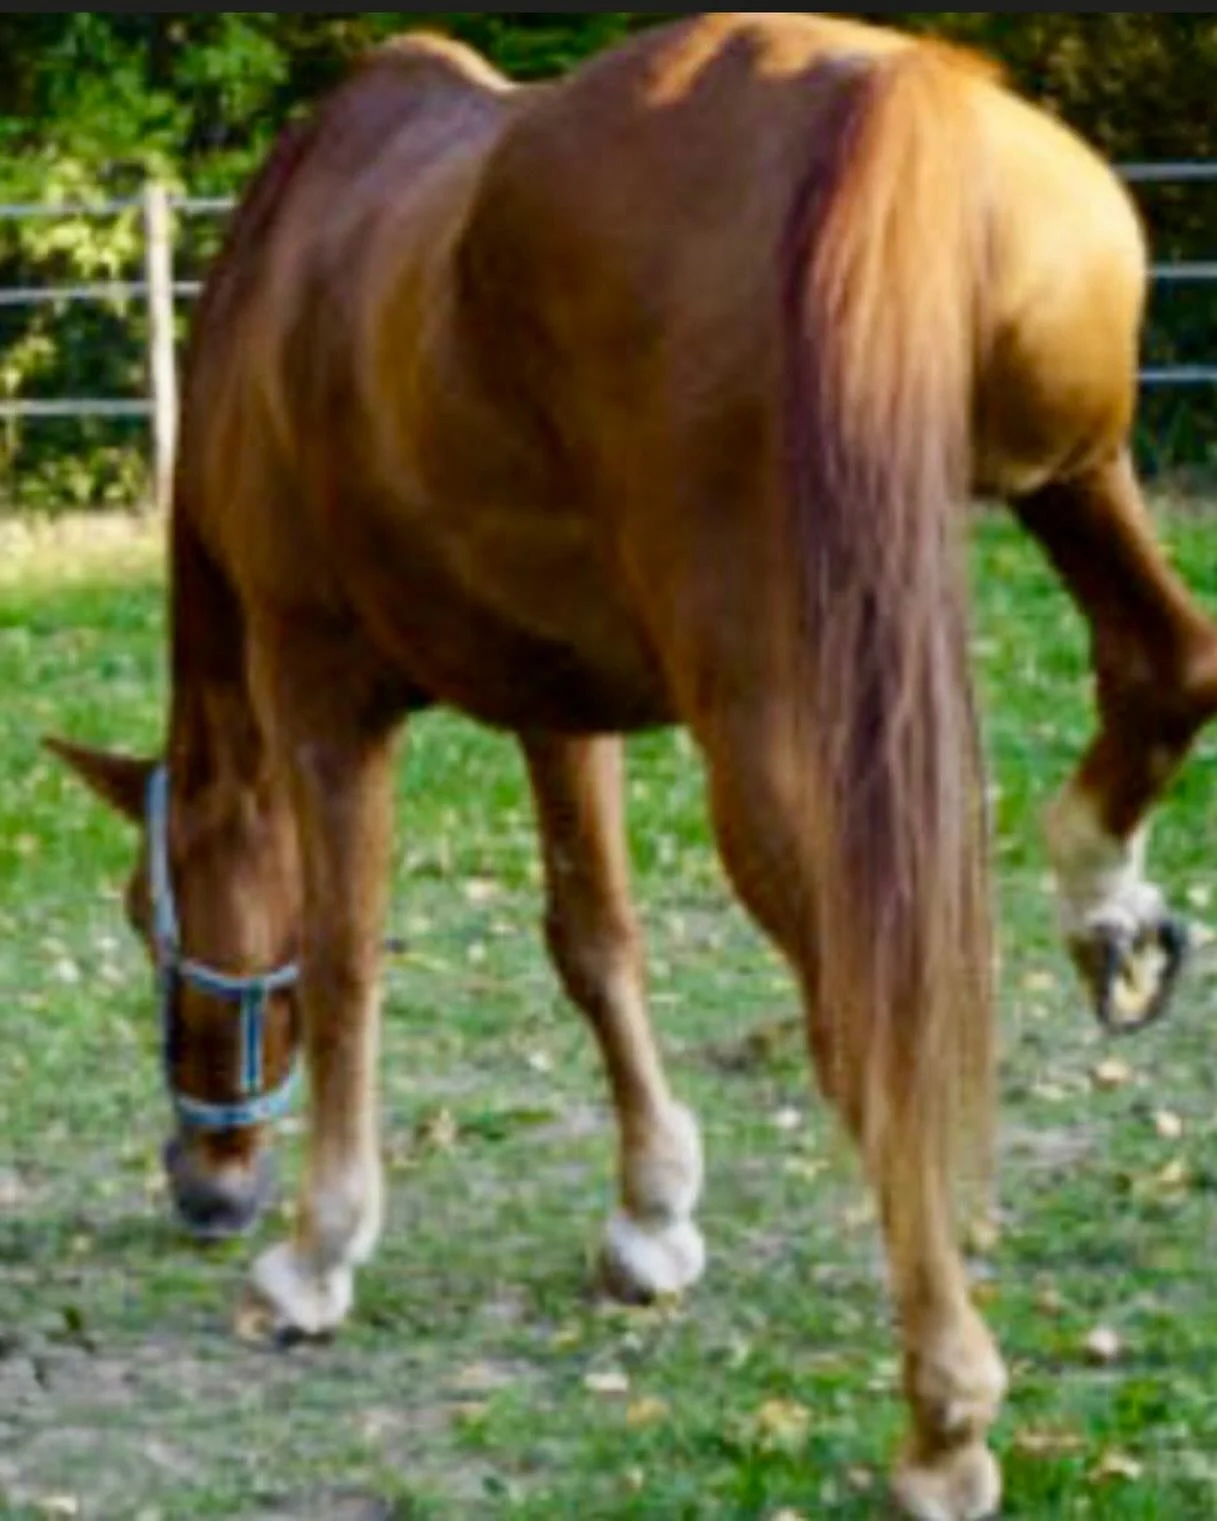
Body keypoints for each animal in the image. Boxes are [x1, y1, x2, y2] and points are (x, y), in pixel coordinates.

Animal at [47, 15, 1217, 1519]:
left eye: (149, 917)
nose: (202, 1185)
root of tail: (897, 99)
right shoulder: (559, 704)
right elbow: (594, 939)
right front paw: (651, 1212)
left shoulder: (318, 690)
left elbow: (348, 957)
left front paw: (315, 1255)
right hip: (1073, 476)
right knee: (1168, 663)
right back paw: (1104, 904)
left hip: (778, 730)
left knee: (872, 1014)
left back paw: (943, 1418)